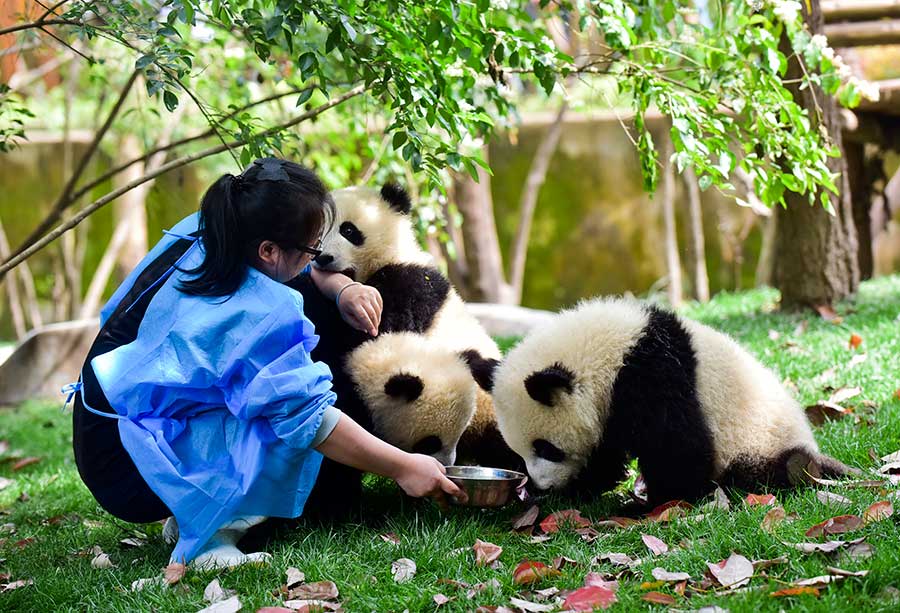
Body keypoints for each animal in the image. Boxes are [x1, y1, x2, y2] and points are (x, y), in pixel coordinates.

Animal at [486, 297, 857, 506]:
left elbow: (676, 445)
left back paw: (799, 468)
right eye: (520, 451)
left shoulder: (653, 375)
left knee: (774, 468)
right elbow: (605, 454)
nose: (541, 483)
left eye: (547, 448)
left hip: (759, 443)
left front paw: (654, 503)